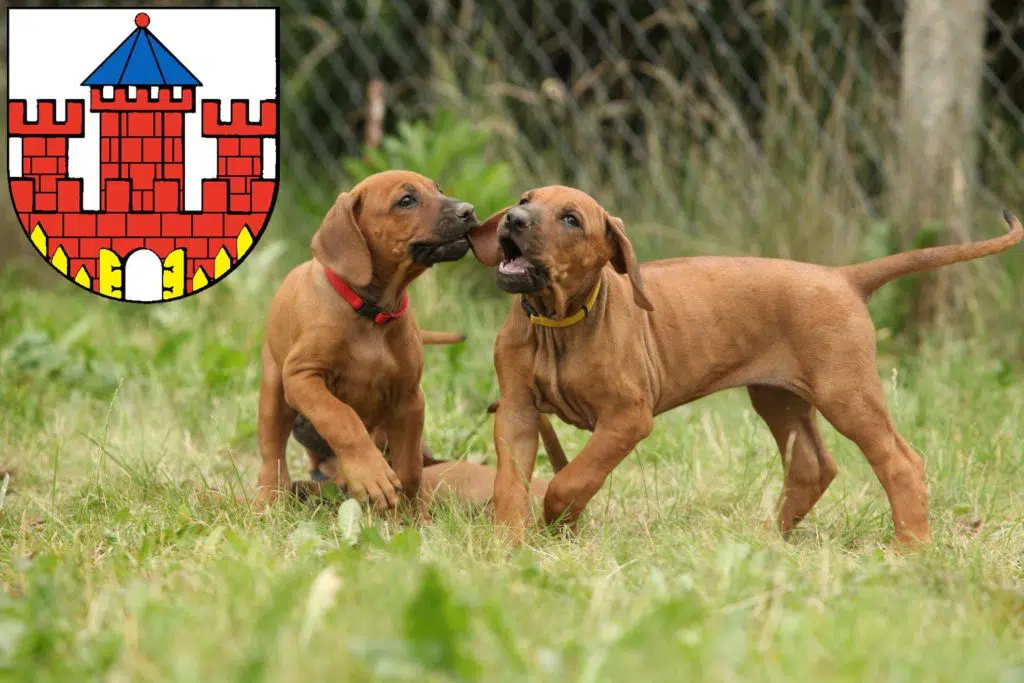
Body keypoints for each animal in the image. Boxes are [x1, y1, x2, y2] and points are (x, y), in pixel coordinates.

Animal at [256, 171, 479, 511]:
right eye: (406, 200)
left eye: (438, 190)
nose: (468, 211)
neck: (372, 313)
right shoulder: (302, 377)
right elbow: (341, 418)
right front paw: (372, 475)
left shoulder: (409, 399)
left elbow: (410, 466)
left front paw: (412, 516)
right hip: (274, 392)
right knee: (273, 456)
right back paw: (268, 501)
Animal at [468, 185, 1019, 544]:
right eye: (525, 199)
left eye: (571, 219)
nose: (513, 221)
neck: (559, 322)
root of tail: (843, 277)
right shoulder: (517, 411)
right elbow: (510, 482)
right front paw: (508, 544)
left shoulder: (627, 417)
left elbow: (573, 477)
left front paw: (556, 520)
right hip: (780, 397)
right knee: (812, 466)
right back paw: (770, 541)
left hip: (846, 394)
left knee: (901, 463)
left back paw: (911, 548)